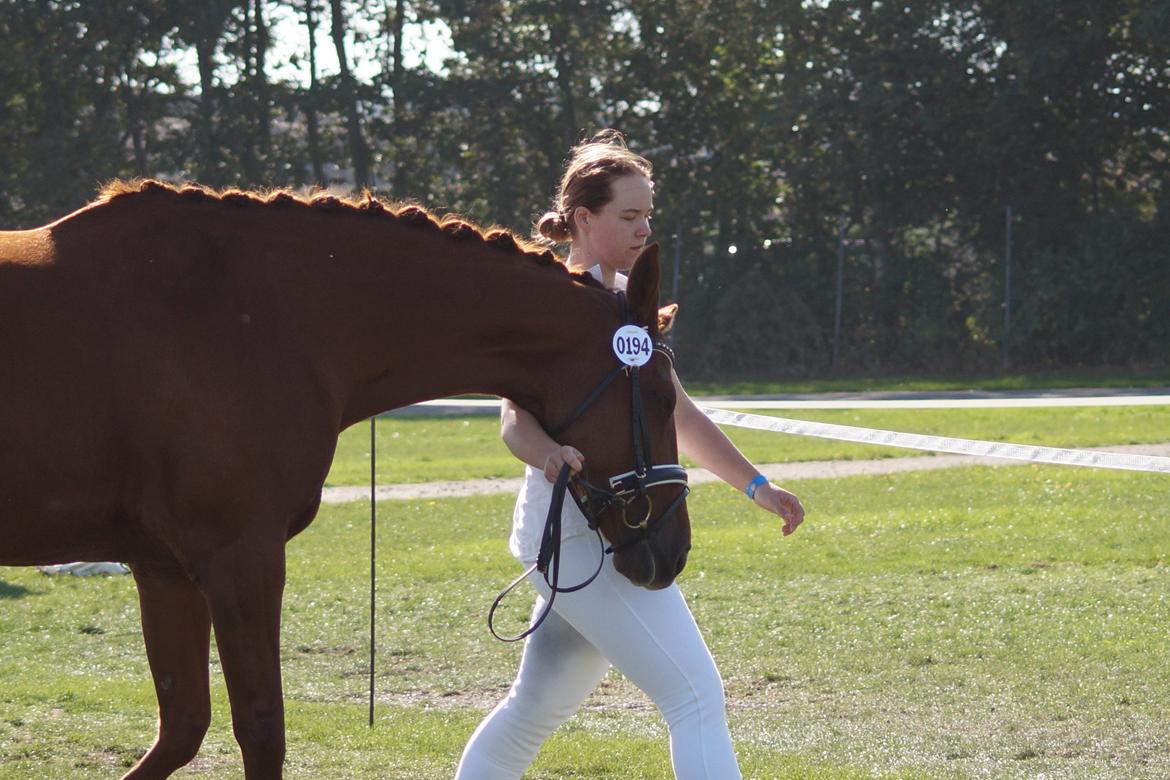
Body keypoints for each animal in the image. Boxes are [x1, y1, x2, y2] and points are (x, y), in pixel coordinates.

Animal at [0, 180, 687, 776]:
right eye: (659, 397)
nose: (672, 551)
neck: (252, 313)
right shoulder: (241, 558)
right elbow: (260, 727)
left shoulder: (163, 567)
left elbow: (182, 726)